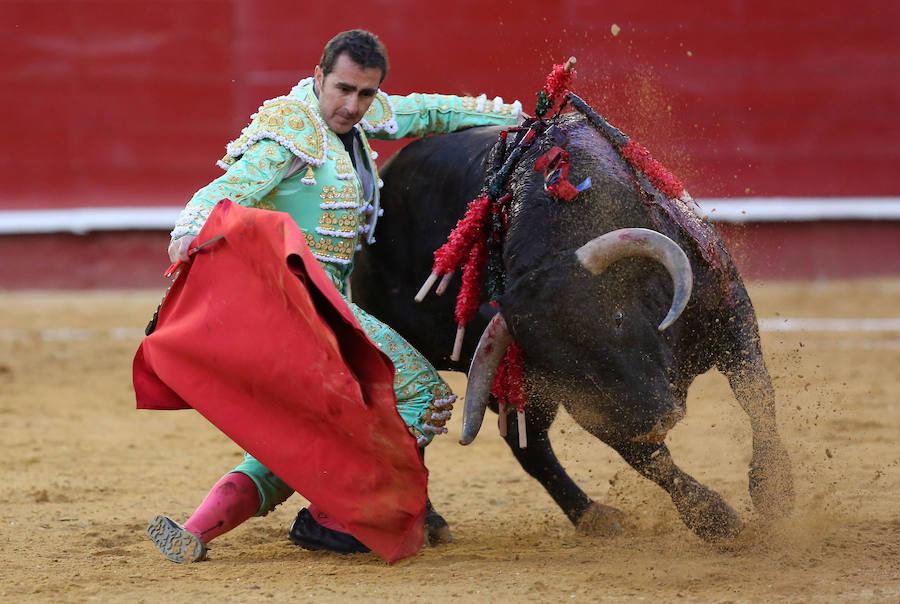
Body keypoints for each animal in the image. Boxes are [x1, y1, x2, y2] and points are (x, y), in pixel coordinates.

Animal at [352, 100, 796, 544]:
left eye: (617, 316)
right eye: (560, 365)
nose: (653, 419)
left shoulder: (732, 314)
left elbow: (756, 395)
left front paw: (774, 492)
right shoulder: (590, 403)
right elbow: (650, 461)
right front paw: (716, 520)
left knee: (525, 444)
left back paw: (588, 514)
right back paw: (436, 523)